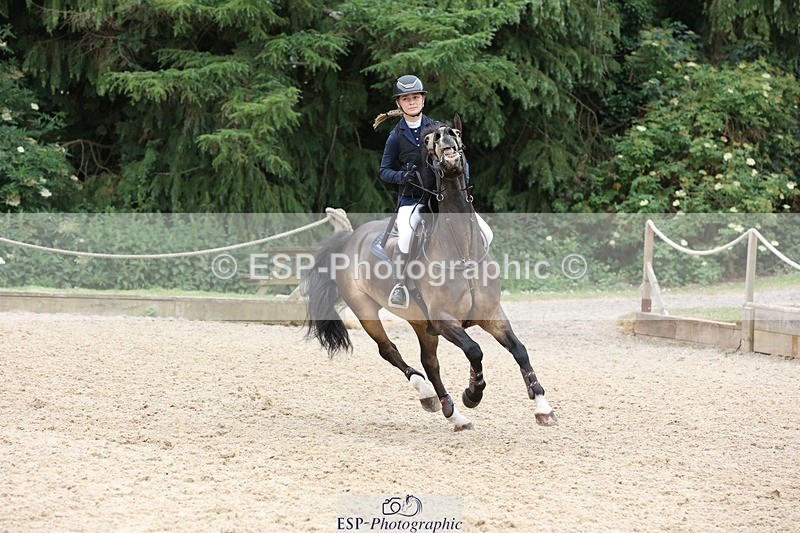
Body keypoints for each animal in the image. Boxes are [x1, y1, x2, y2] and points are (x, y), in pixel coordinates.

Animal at [302, 115, 557, 431]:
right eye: (428, 141)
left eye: (456, 132)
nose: (445, 137)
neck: (463, 252)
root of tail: (350, 238)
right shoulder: (445, 320)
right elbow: (474, 350)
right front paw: (473, 392)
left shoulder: (491, 314)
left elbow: (519, 350)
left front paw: (543, 407)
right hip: (366, 311)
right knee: (389, 350)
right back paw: (429, 395)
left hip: (421, 323)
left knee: (430, 363)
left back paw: (453, 413)